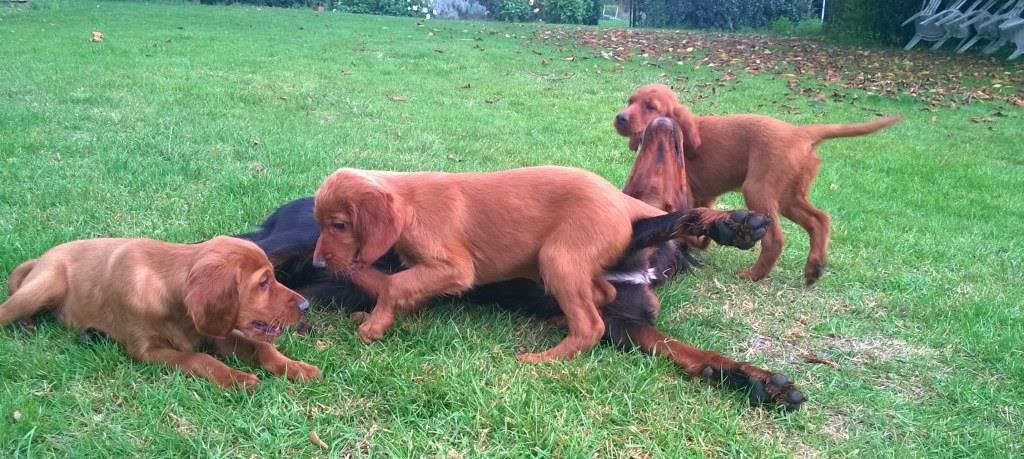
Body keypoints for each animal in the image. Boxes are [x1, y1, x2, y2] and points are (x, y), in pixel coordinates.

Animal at [0, 234, 319, 389]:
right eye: (263, 282)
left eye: (273, 277)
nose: (306, 306)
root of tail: (41, 258)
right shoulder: (146, 351)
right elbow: (198, 358)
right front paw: (236, 378)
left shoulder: (216, 332)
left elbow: (262, 349)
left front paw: (297, 367)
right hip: (47, 285)